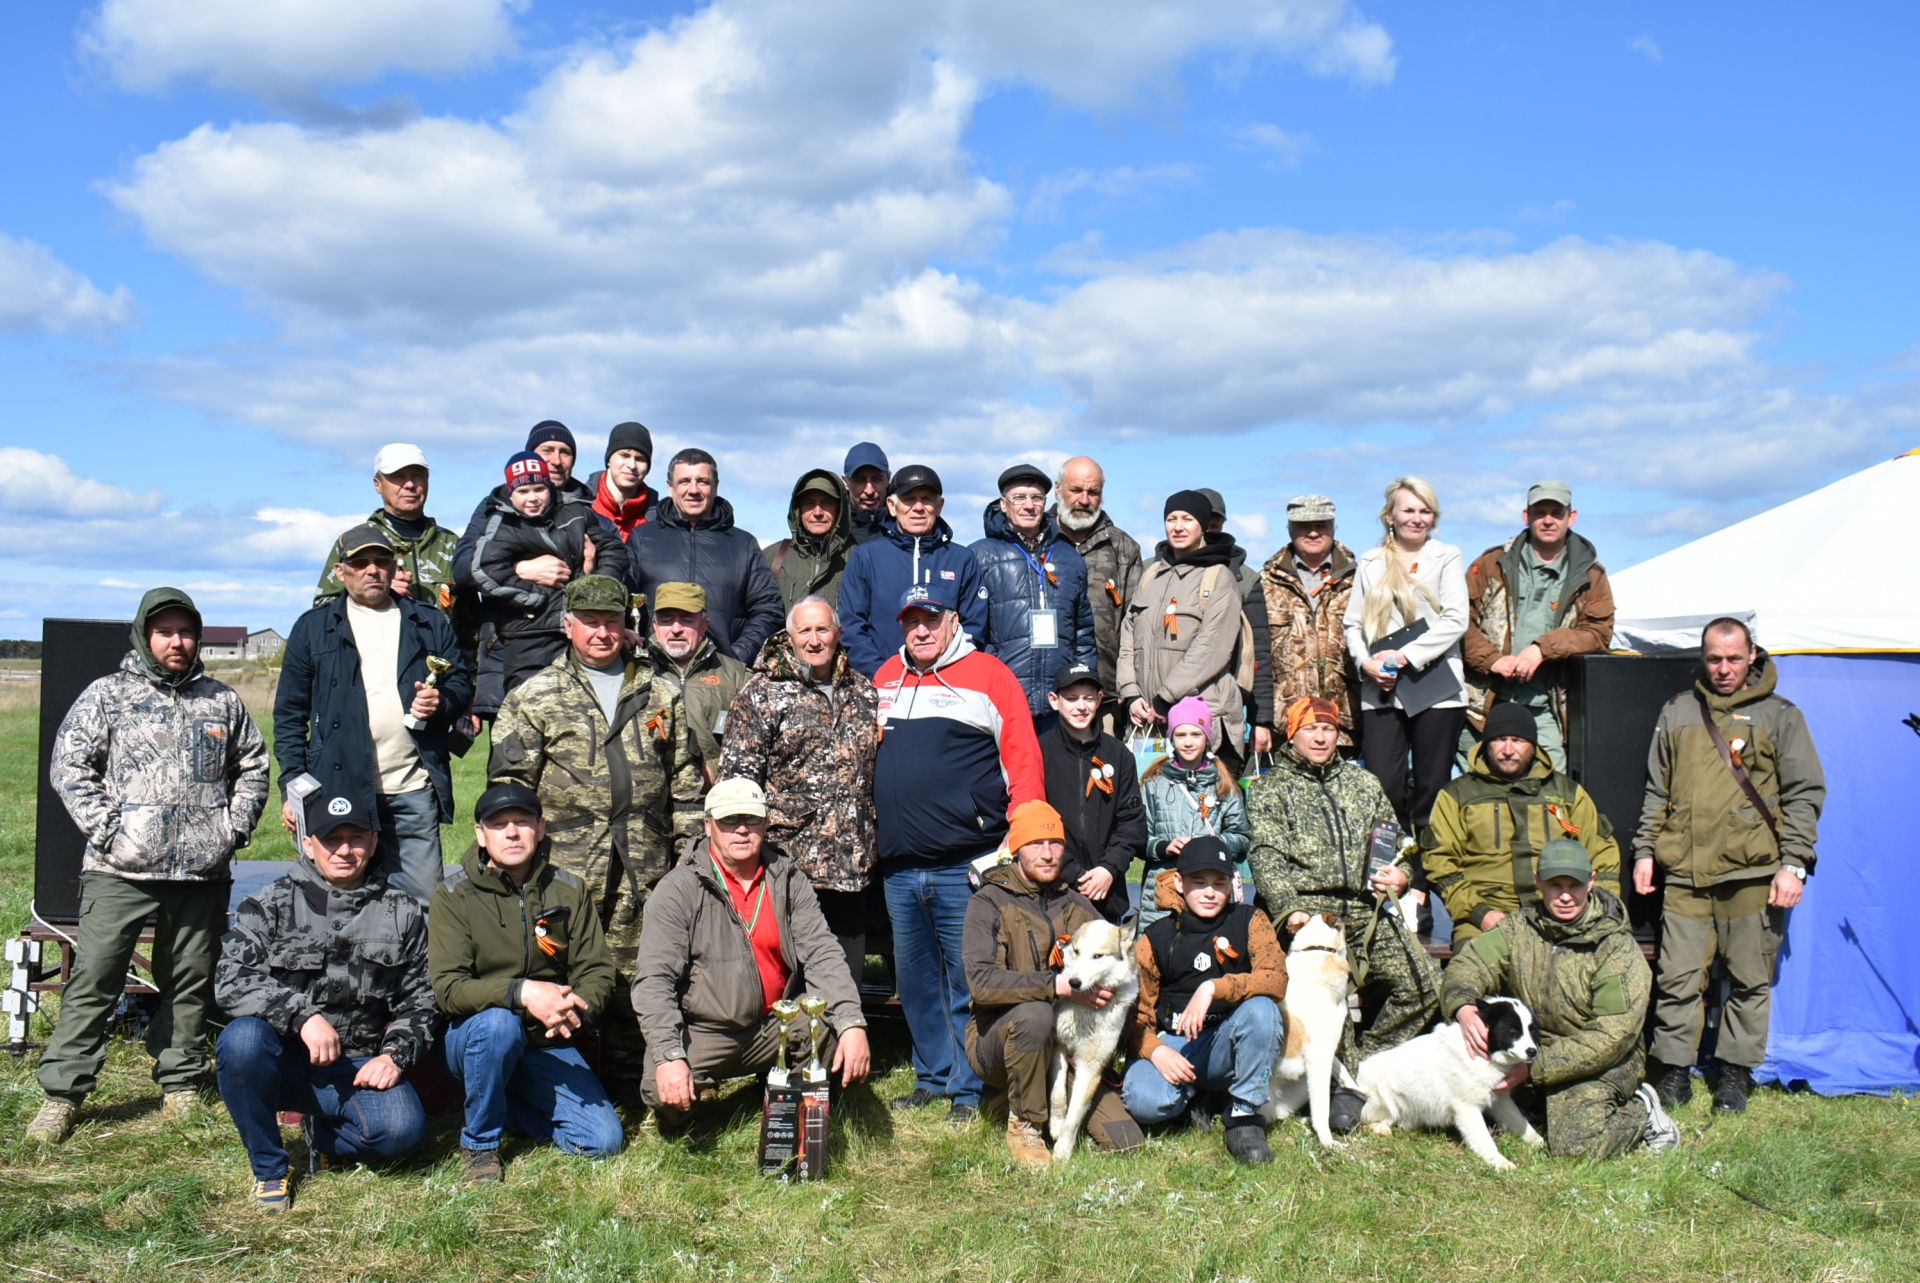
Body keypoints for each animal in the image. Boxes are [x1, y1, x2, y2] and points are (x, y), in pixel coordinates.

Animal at [1052, 918, 1136, 1160]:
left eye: (1097, 956)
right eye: (1077, 951)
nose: (1073, 982)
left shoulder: (1091, 1067)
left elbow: (1074, 1117)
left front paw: (1062, 1152)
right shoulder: (1058, 1045)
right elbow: (1057, 1094)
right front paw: (1055, 1126)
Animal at [1351, 991, 1543, 1175]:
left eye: (1532, 1030)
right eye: (1512, 1030)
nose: (1532, 1052)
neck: (1483, 1054)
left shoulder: (1501, 1100)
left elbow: (1519, 1121)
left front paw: (1538, 1142)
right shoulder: (1467, 1109)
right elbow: (1484, 1140)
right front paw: (1499, 1162)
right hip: (1382, 1099)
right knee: (1364, 1120)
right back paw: (1378, 1128)